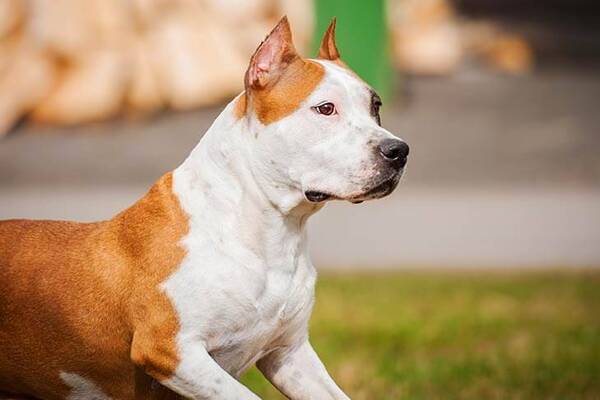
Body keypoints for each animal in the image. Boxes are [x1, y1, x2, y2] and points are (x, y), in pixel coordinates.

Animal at [0, 18, 408, 400]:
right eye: (325, 109)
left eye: (376, 107)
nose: (399, 151)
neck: (267, 232)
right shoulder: (170, 351)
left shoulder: (289, 355)